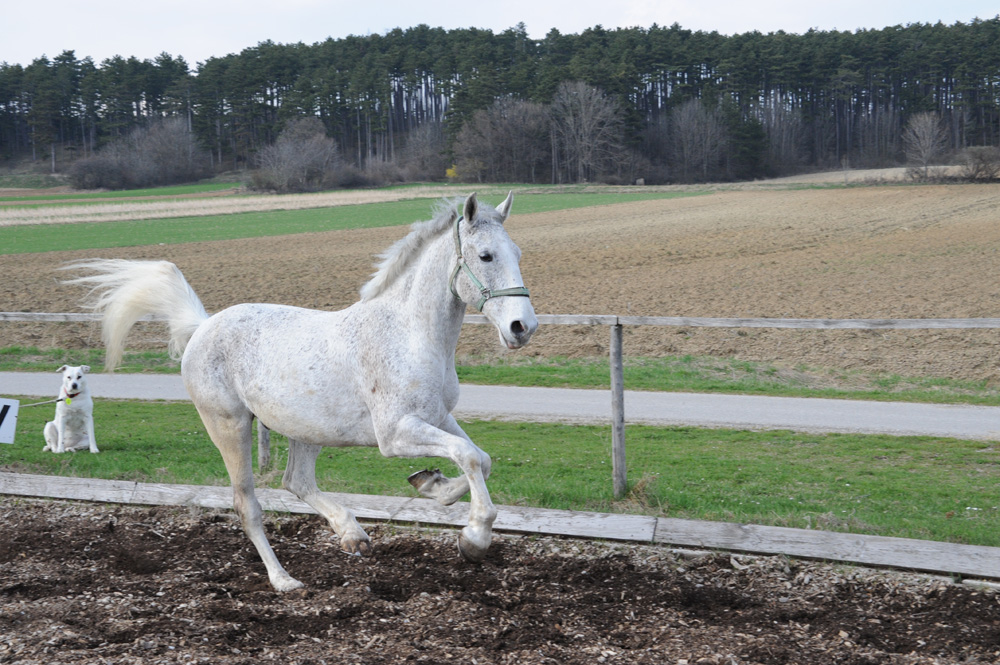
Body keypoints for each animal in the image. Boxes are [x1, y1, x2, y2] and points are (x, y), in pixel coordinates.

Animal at [68, 193, 540, 592]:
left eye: (518, 254)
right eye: (486, 255)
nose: (523, 328)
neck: (410, 335)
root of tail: (202, 326)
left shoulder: (438, 417)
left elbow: (480, 458)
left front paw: (432, 486)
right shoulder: (395, 433)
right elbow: (469, 456)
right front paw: (474, 538)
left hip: (306, 430)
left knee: (295, 480)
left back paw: (352, 534)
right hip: (230, 426)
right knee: (248, 505)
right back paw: (285, 581)